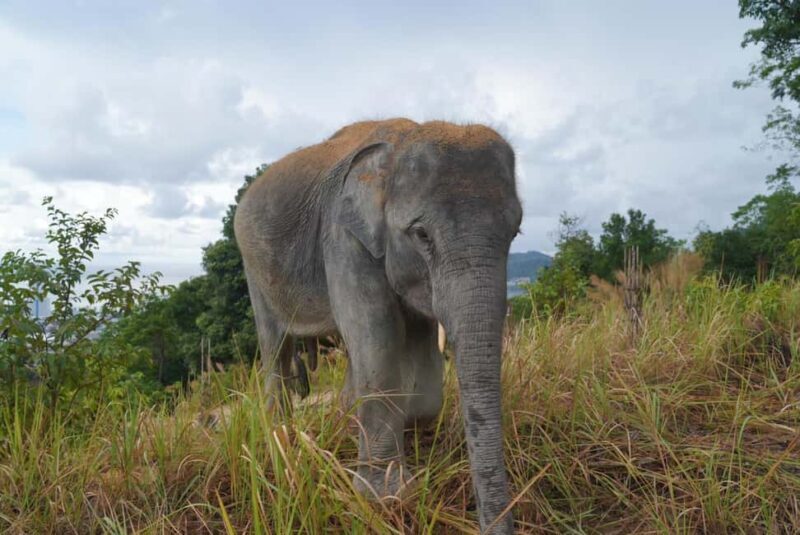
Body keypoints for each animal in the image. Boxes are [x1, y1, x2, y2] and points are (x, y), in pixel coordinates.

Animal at [234, 118, 522, 533]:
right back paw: (282, 437)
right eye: (422, 234)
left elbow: (422, 372)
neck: (403, 141)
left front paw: (415, 447)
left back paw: (340, 425)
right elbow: (379, 340)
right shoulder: (342, 238)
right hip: (253, 272)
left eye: (515, 233)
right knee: (275, 348)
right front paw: (384, 495)